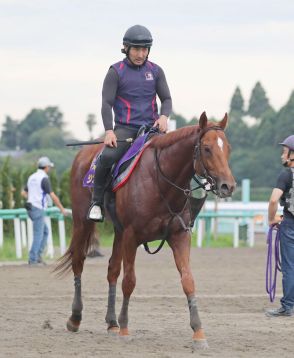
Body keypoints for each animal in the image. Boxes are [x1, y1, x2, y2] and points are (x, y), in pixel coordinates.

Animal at [55, 112, 237, 350]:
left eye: (228, 148)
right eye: (206, 148)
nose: (228, 186)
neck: (161, 181)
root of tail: (83, 155)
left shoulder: (178, 235)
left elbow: (188, 280)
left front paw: (198, 332)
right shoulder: (132, 236)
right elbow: (129, 282)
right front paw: (125, 328)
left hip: (118, 231)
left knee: (112, 270)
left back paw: (111, 322)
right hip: (81, 222)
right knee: (78, 261)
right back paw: (75, 318)